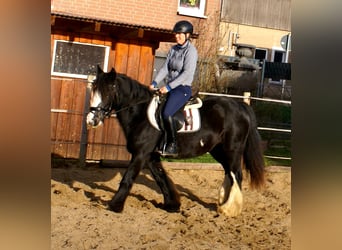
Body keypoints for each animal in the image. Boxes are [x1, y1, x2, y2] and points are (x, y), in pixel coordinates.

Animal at [85, 66, 264, 217]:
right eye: (93, 90)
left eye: (107, 92)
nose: (91, 120)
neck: (140, 113)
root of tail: (239, 105)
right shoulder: (150, 156)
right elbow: (161, 178)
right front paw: (172, 205)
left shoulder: (140, 154)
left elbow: (127, 178)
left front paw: (115, 205)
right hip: (218, 150)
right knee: (229, 173)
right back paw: (222, 203)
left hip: (232, 150)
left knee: (236, 174)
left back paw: (229, 209)